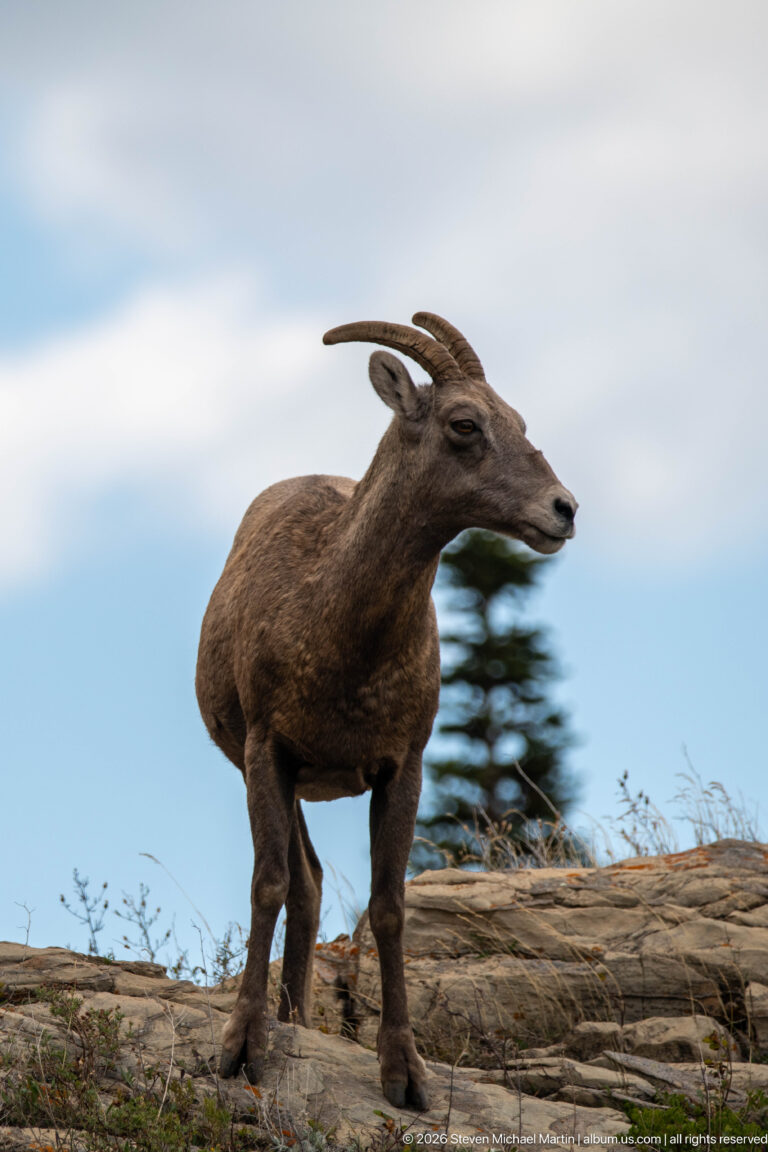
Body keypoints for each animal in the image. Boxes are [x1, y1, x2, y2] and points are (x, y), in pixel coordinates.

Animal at [195, 313, 577, 1111]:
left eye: (519, 421)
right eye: (464, 424)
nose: (563, 511)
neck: (336, 630)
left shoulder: (403, 767)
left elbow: (389, 905)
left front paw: (406, 1076)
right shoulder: (268, 754)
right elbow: (268, 883)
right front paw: (241, 1051)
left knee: (312, 886)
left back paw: (298, 1020)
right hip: (281, 777)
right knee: (301, 884)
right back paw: (285, 1024)